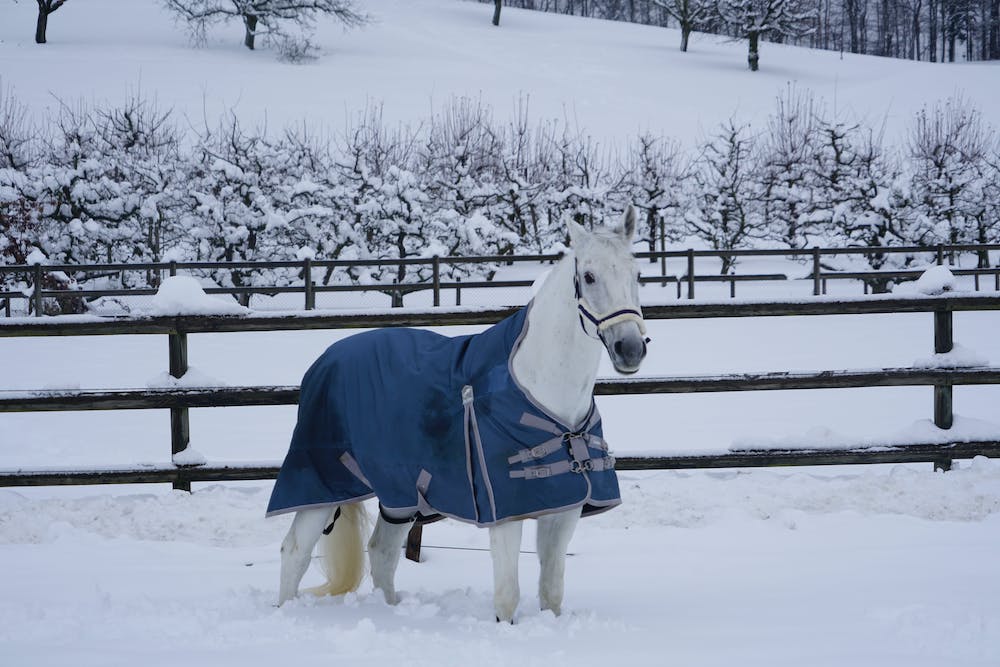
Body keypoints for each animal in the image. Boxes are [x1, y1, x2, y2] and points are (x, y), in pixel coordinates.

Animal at [268, 205, 648, 623]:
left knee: (382, 552)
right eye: (589, 276)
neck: (539, 388)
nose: (630, 348)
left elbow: (551, 592)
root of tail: (324, 360)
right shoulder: (505, 514)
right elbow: (507, 596)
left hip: (399, 497)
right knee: (294, 552)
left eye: (636, 274)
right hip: (321, 487)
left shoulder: (564, 510)